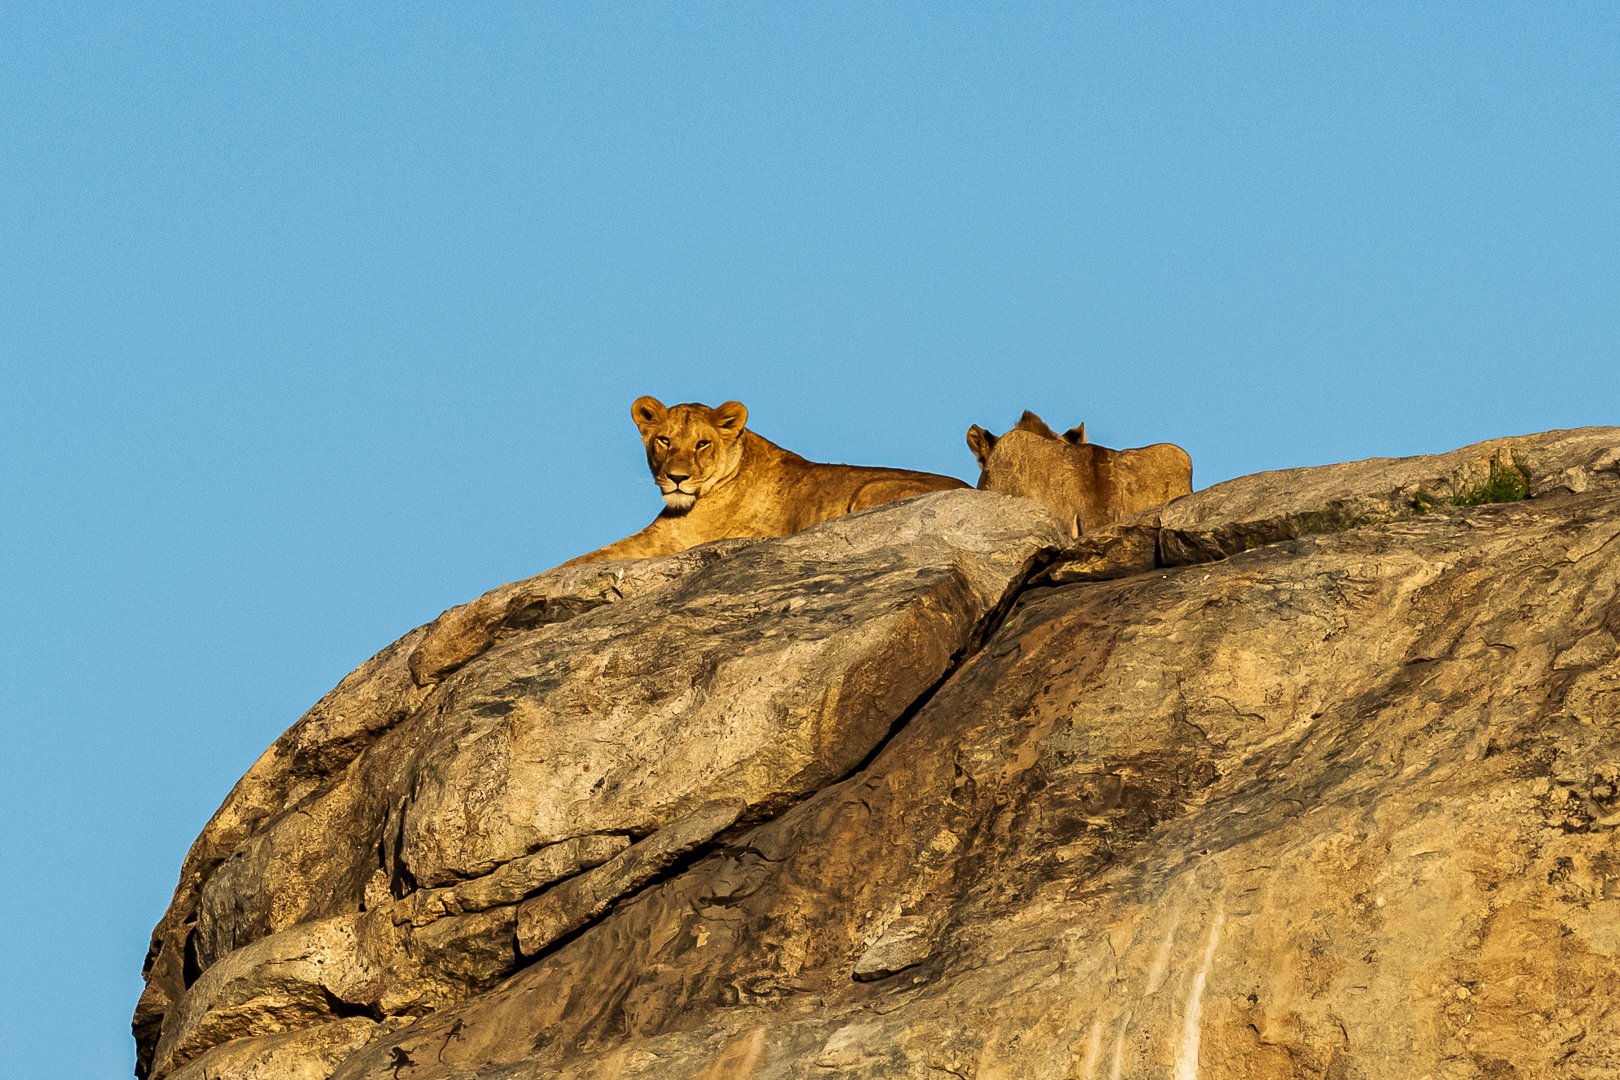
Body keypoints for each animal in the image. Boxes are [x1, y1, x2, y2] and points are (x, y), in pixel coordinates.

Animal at [562, 397, 968, 566]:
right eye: (664, 440)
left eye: (702, 443)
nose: (677, 478)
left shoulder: (674, 540)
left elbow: (580, 561)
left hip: (871, 488)